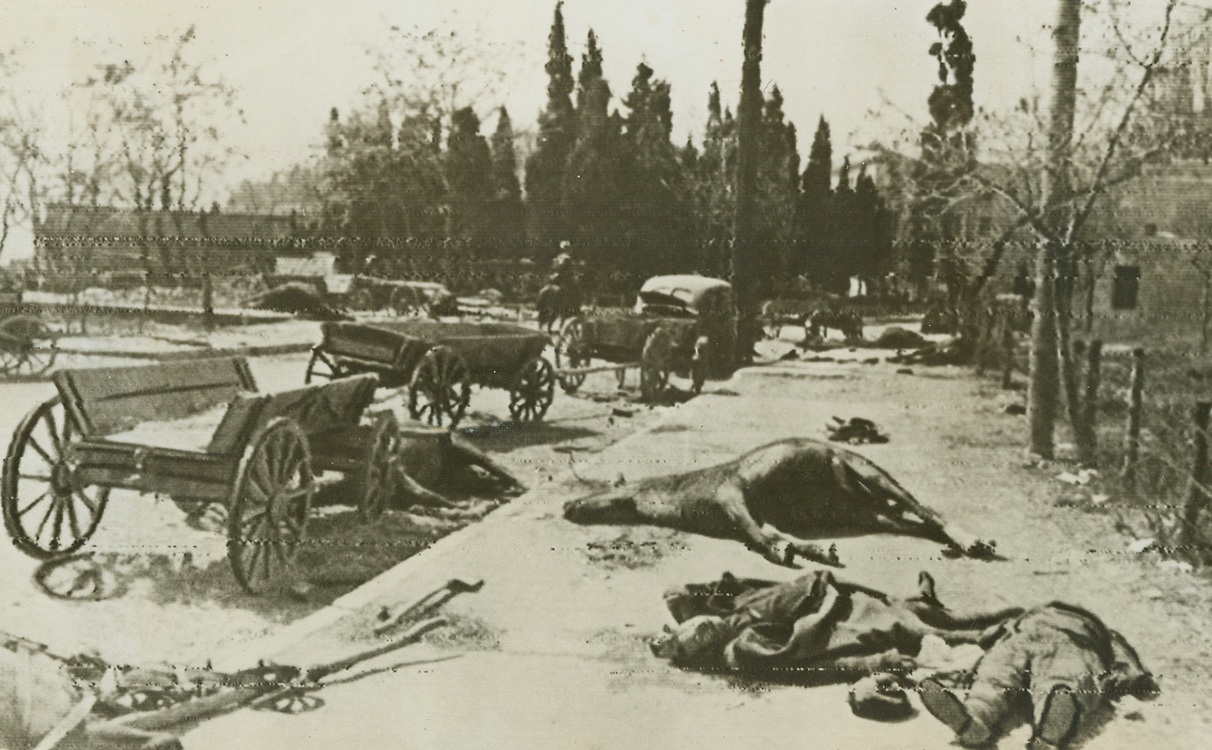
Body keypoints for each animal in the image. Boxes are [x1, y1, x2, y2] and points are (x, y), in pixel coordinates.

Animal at [564, 436, 993, 567]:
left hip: (870, 471)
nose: (567, 508)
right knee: (913, 522)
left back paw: (974, 541)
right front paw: (820, 551)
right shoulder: (759, 512)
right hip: (867, 511)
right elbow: (777, 532)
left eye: (604, 491)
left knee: (926, 510)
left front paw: (782, 552)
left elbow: (758, 535)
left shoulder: (733, 496)